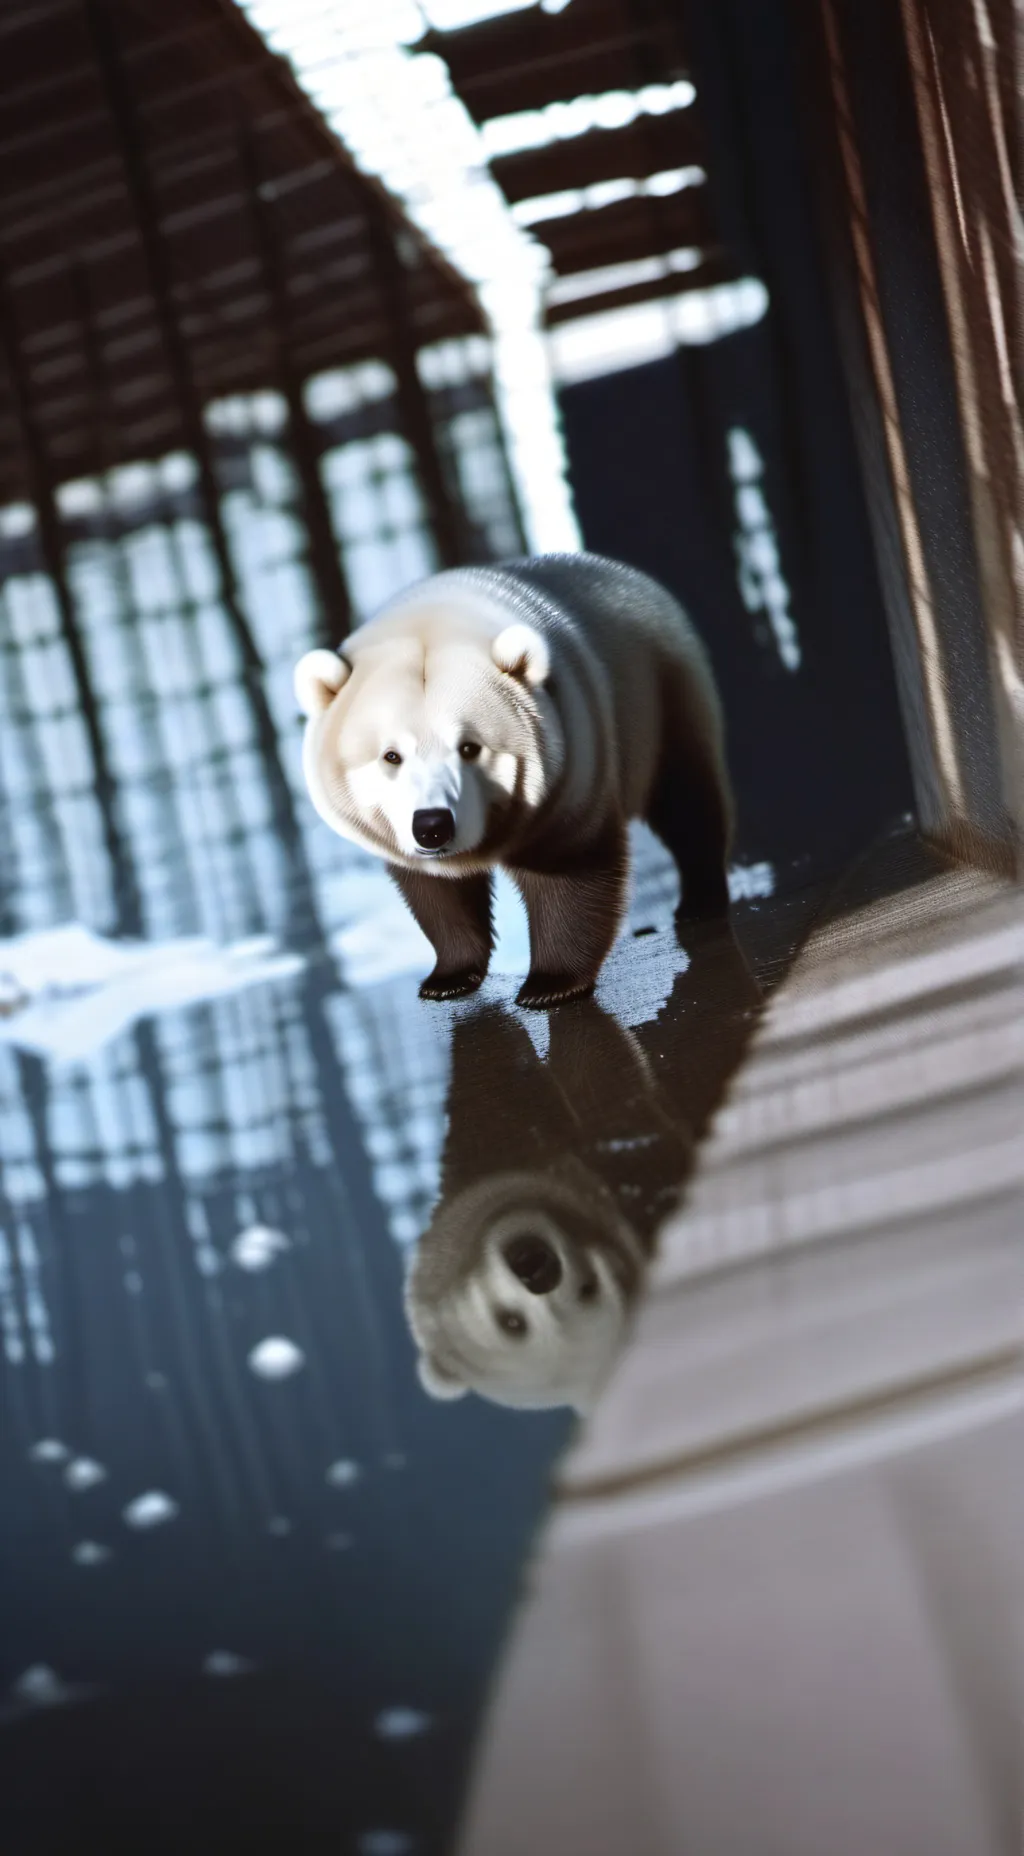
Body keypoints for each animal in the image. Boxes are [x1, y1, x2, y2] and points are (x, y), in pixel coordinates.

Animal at [294, 553, 733, 1009]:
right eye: (391, 756)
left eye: (470, 747)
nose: (433, 826)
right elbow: (438, 893)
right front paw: (448, 976)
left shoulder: (571, 754)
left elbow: (569, 867)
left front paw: (550, 984)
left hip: (661, 688)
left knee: (686, 795)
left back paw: (700, 898)